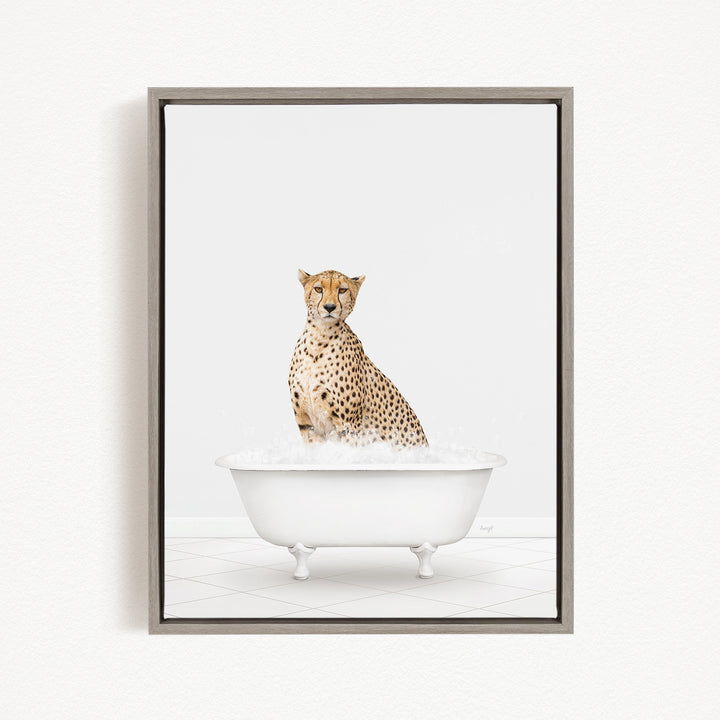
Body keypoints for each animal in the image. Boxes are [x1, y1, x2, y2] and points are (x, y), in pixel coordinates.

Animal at [288, 269, 428, 447]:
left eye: (342, 290)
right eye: (318, 289)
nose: (329, 307)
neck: (319, 336)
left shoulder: (348, 426)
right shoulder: (307, 424)